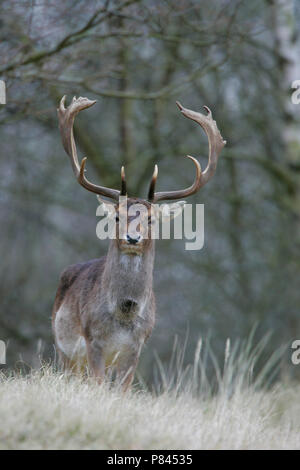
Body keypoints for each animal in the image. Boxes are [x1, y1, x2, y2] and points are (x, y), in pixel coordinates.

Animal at [52, 94, 225, 390]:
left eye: (152, 219)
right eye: (117, 216)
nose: (133, 237)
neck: (124, 316)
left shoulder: (136, 348)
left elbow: (123, 391)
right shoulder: (92, 341)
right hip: (64, 349)